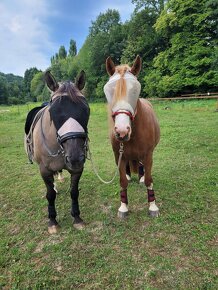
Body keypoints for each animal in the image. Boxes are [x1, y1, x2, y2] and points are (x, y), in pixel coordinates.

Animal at [104, 55, 160, 218]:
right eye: (108, 90)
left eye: (135, 90)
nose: (122, 131)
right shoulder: (118, 155)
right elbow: (122, 182)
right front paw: (123, 207)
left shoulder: (148, 155)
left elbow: (149, 180)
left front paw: (153, 206)